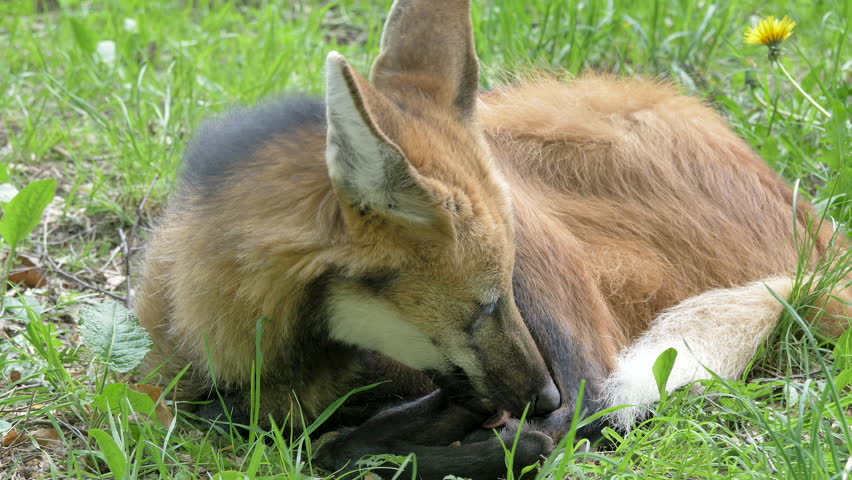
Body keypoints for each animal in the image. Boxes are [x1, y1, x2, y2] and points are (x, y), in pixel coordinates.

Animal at [136, 0, 850, 478]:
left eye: (499, 295)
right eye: (481, 307)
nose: (542, 394)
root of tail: (818, 233)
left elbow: (332, 443)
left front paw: (425, 438)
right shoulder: (171, 379)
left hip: (529, 203)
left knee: (591, 404)